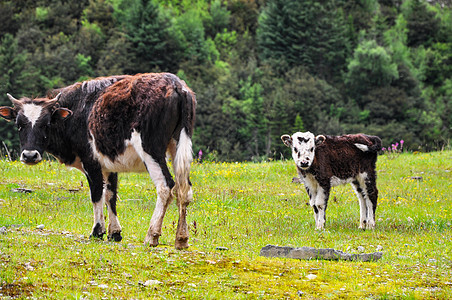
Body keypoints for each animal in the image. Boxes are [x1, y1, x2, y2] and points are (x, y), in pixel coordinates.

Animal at [0, 72, 197, 248]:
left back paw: (152, 235)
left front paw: (97, 231)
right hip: (179, 145)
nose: (29, 155)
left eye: (46, 124)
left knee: (166, 186)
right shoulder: (109, 165)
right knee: (184, 189)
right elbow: (110, 195)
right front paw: (114, 233)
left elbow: (96, 194)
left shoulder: (90, 162)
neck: (78, 110)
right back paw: (181, 238)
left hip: (151, 150)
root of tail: (176, 84)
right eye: (19, 124)